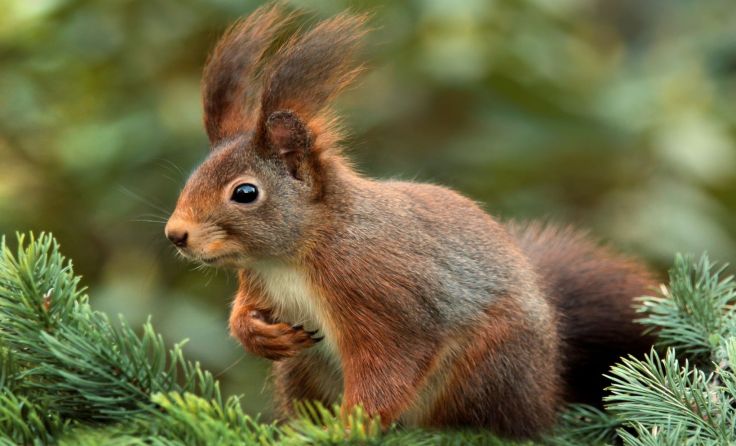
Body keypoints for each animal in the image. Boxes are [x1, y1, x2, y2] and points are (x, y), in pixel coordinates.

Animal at [164, 5, 655, 439]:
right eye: (193, 175)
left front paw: (348, 429)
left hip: (488, 365)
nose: (176, 235)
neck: (292, 257)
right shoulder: (258, 281)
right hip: (302, 370)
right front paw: (256, 334)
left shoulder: (381, 295)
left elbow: (389, 366)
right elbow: (242, 313)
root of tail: (546, 390)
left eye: (245, 193)